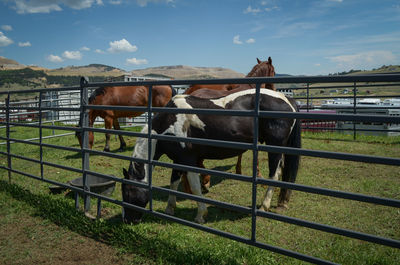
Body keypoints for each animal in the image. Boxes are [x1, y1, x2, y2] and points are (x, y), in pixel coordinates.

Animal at [122, 88, 300, 223]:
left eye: (128, 192)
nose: (127, 220)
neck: (170, 122)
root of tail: (288, 100)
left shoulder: (188, 160)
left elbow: (195, 187)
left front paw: (201, 215)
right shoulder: (178, 159)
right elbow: (173, 183)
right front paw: (169, 209)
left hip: (274, 148)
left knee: (274, 175)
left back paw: (264, 206)